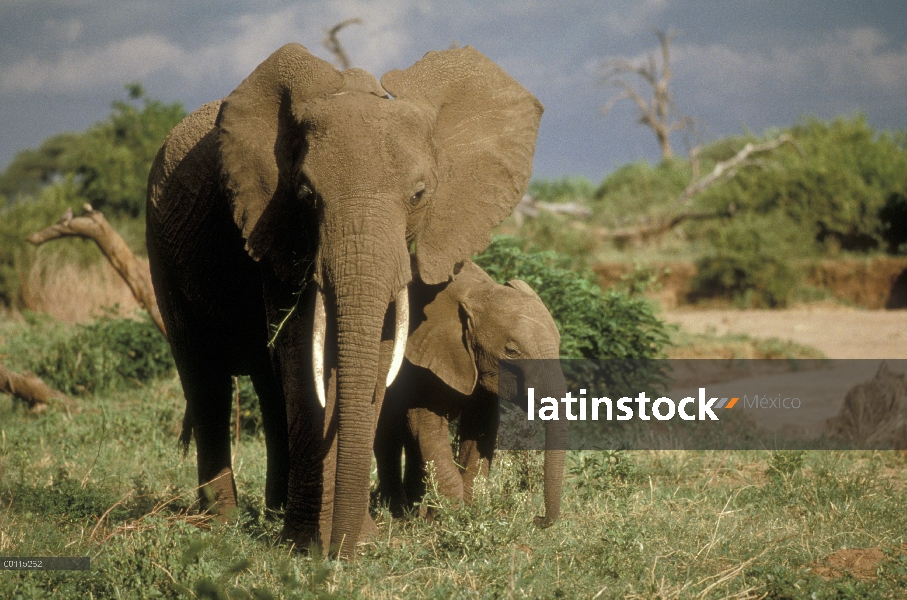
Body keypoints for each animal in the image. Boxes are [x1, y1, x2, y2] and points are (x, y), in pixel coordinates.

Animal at [148, 43, 544, 556]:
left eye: (419, 194)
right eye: (305, 195)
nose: (339, 551)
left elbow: (375, 352)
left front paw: (356, 542)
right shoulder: (275, 223)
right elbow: (301, 350)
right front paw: (308, 543)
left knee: (267, 386)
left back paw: (270, 512)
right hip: (159, 242)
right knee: (205, 377)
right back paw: (222, 523)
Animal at [372, 262, 564, 524]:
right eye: (511, 351)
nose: (538, 519)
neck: (477, 293)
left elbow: (480, 430)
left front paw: (468, 514)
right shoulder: (423, 358)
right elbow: (427, 426)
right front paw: (446, 520)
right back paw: (398, 513)